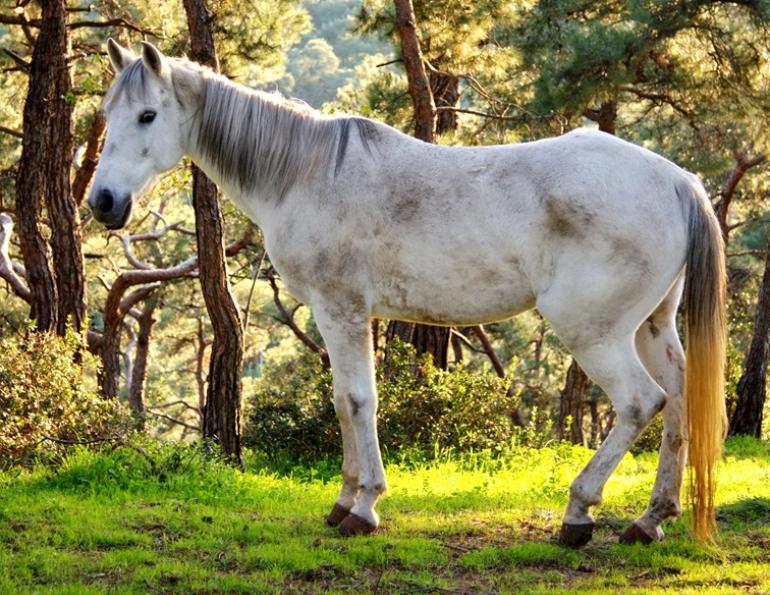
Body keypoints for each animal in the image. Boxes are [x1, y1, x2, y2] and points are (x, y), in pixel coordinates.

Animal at [90, 39, 727, 546]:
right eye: (106, 113)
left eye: (147, 114)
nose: (102, 202)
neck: (307, 172)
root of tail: (679, 181)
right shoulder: (338, 317)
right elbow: (342, 402)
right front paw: (342, 501)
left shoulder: (343, 311)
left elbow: (357, 401)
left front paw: (365, 508)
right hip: (651, 328)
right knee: (679, 404)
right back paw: (649, 521)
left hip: (593, 333)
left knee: (641, 404)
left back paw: (577, 515)